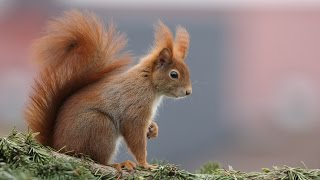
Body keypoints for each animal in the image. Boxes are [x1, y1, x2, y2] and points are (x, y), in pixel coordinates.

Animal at [25, 9, 191, 170]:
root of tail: (58, 147)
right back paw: (119, 164)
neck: (148, 82)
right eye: (174, 74)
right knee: (98, 159)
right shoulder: (134, 106)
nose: (189, 92)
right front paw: (145, 164)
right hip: (101, 126)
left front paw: (153, 129)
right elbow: (135, 137)